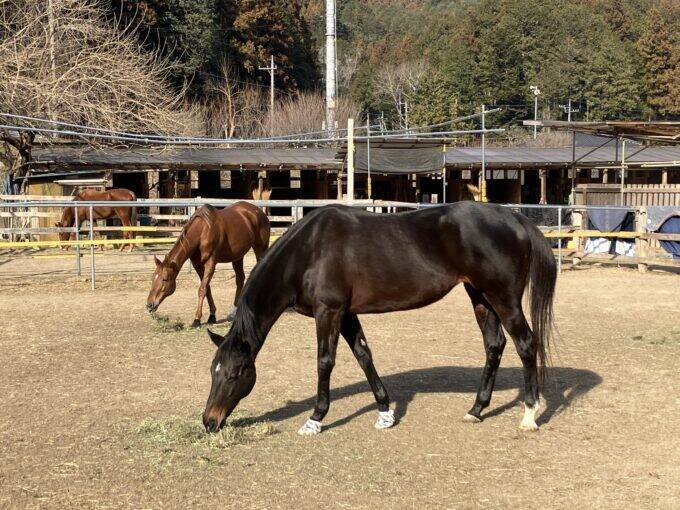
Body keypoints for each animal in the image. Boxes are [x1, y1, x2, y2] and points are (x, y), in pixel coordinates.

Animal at [201, 201, 557, 436]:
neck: (308, 251)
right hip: (480, 297)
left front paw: (315, 418)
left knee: (526, 344)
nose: (209, 421)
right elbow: (364, 355)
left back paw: (529, 415)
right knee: (494, 345)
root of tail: (514, 217)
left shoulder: (328, 311)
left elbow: (324, 362)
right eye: (213, 371)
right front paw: (385, 412)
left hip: (504, 299)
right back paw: (476, 409)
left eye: (234, 374)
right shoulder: (346, 314)